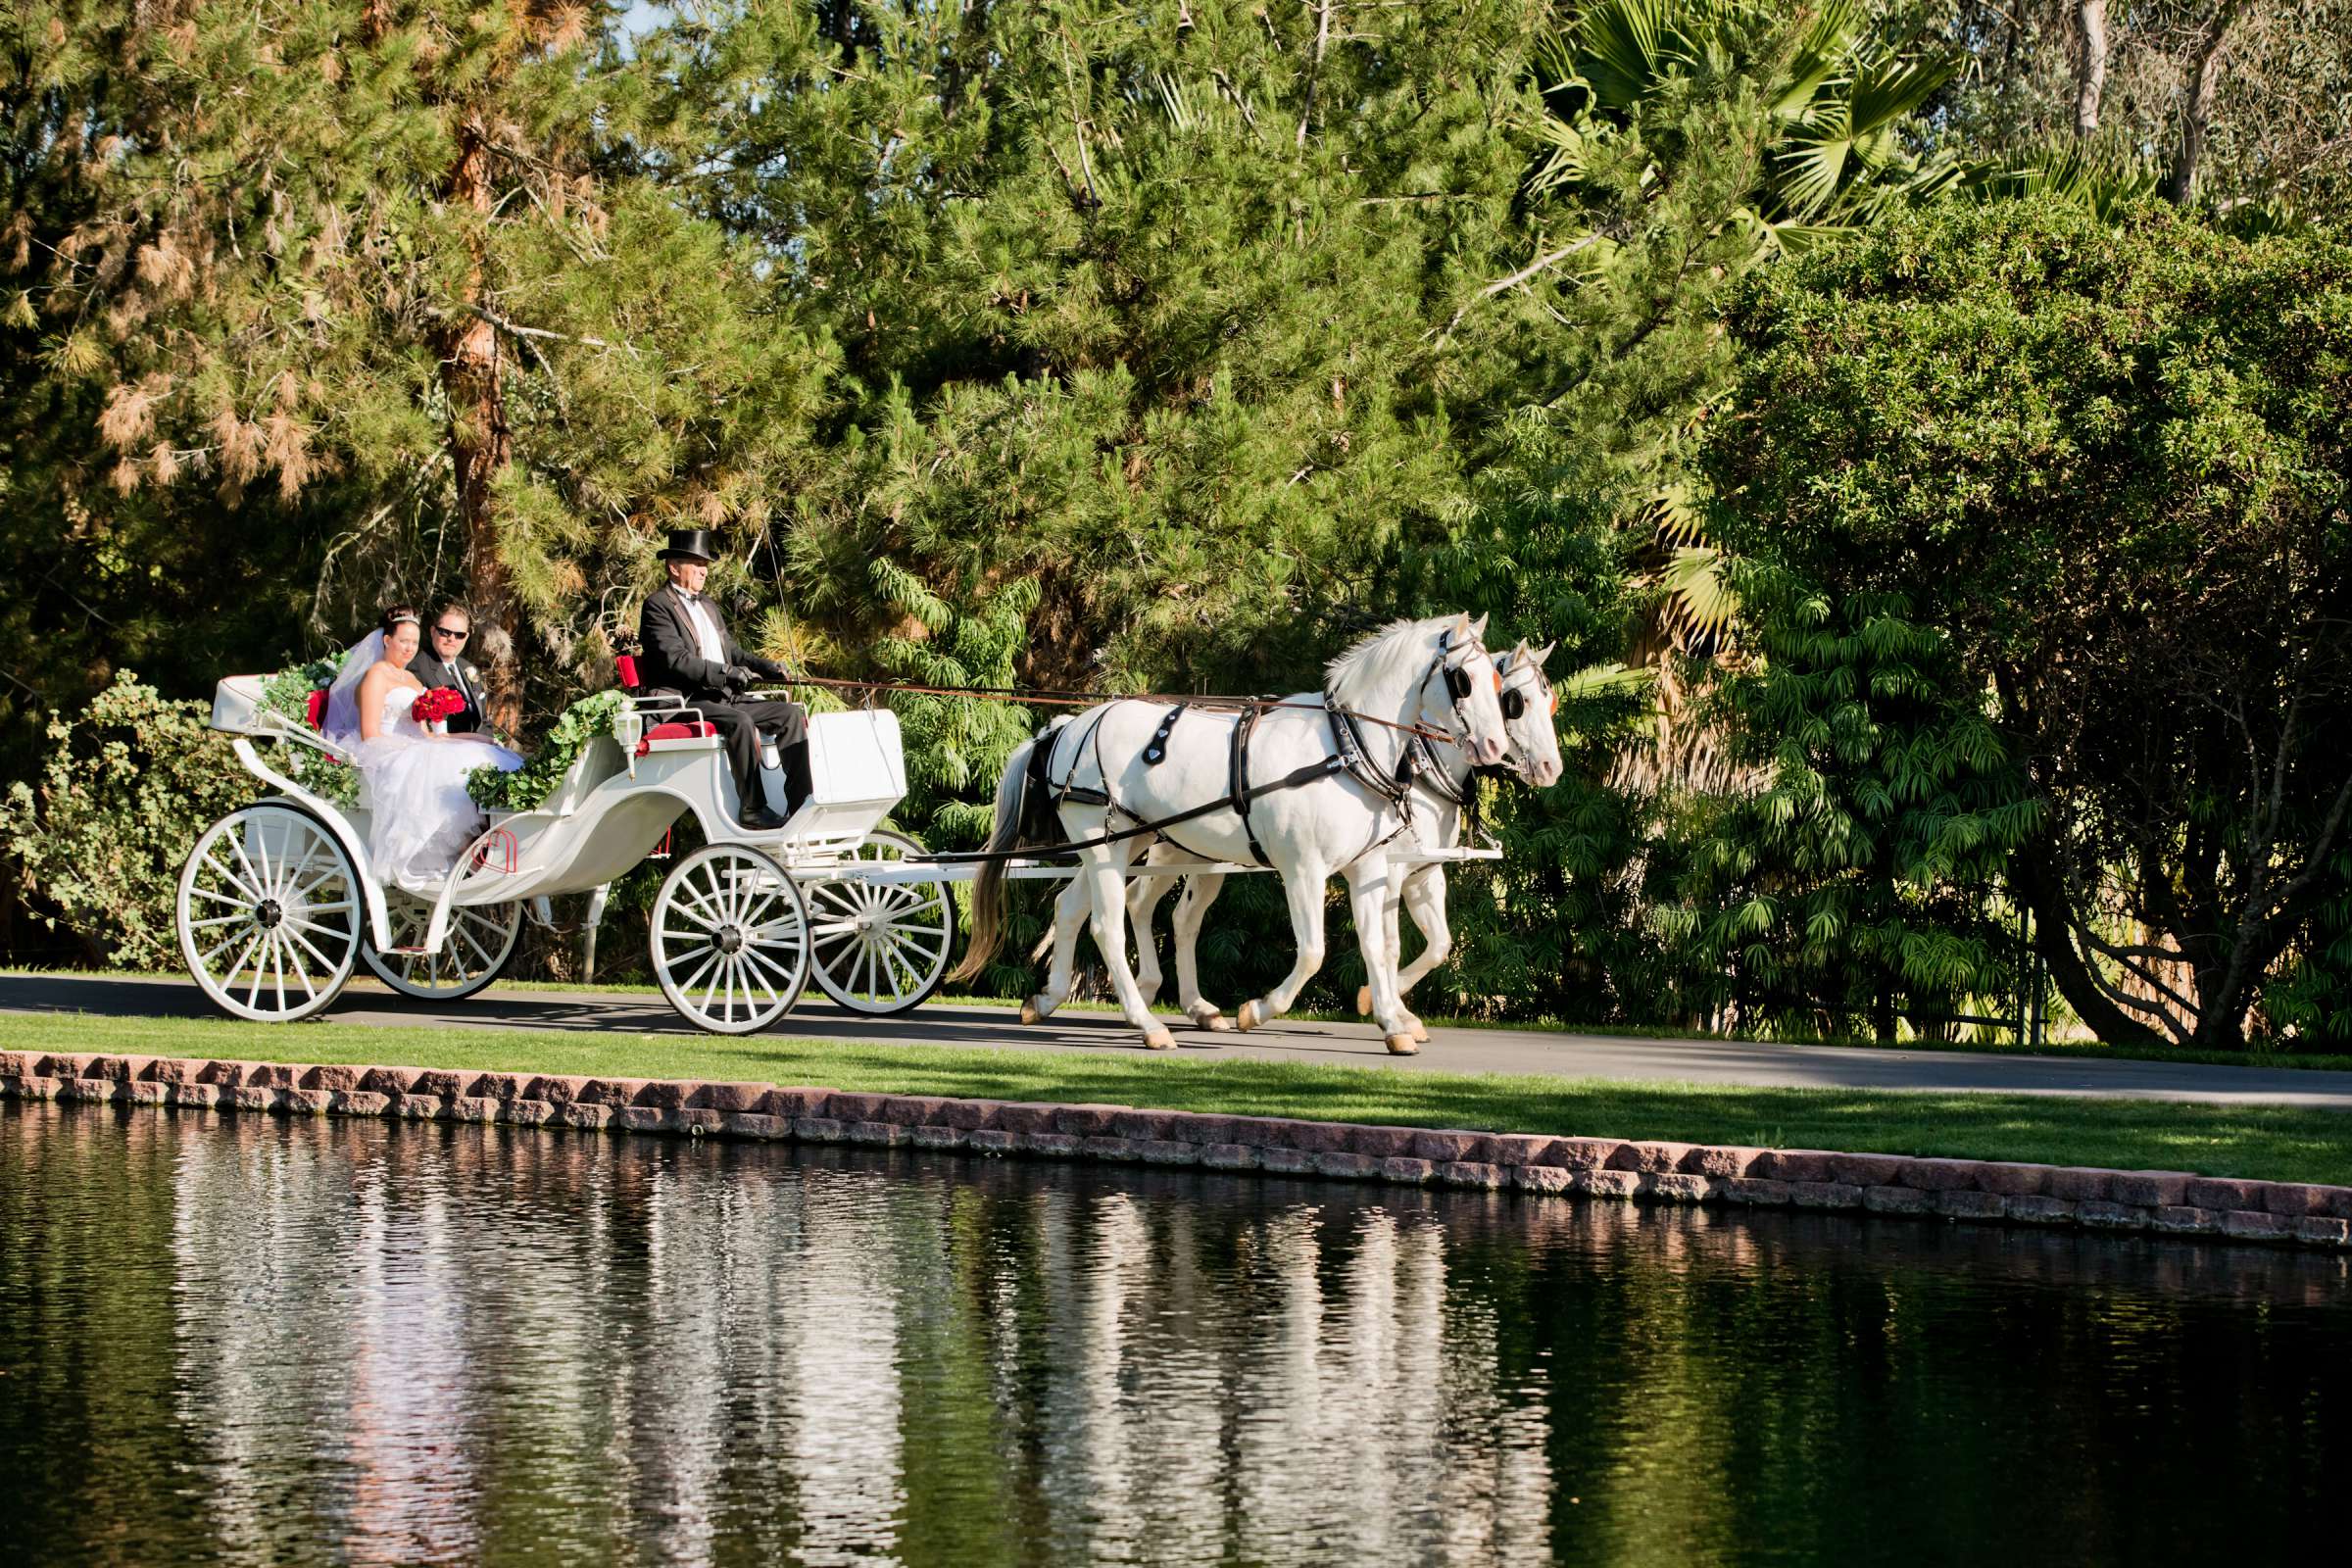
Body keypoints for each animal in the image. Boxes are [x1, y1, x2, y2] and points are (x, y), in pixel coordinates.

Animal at [950, 620, 1505, 1048]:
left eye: (1500, 684)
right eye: (1463, 680)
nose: (1495, 746)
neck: (1346, 747)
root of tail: (1070, 724)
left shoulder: (1367, 866)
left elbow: (1377, 945)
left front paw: (1391, 1022)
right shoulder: (1303, 869)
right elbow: (1313, 951)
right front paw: (1256, 1010)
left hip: (1125, 842)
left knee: (1073, 908)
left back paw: (1047, 999)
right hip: (1108, 842)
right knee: (1108, 925)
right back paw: (1147, 1024)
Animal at [1119, 629, 1561, 1048]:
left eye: (1549, 702)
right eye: (1516, 701)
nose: (1550, 767)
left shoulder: (1422, 873)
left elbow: (1438, 944)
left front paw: (1388, 1009)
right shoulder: (1389, 869)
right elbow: (1390, 943)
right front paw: (1390, 1011)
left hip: (1200, 853)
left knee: (1180, 916)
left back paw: (1197, 1007)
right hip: (1163, 845)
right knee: (1138, 902)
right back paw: (1148, 992)